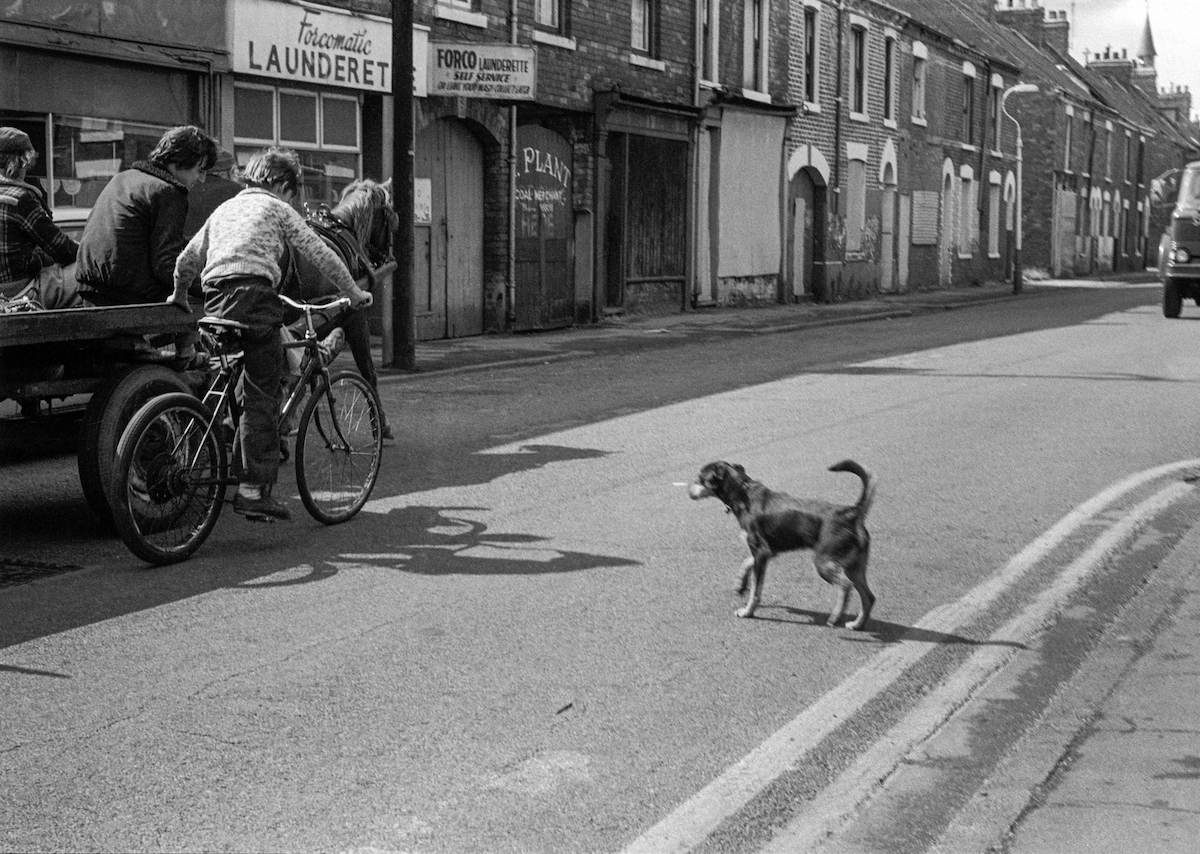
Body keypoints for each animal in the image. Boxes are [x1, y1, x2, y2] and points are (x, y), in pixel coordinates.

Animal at [691, 460, 878, 628]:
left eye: (701, 478)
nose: (689, 490)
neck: (742, 491)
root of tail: (852, 513)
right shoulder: (766, 552)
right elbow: (747, 563)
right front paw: (740, 583)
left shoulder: (761, 552)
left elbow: (755, 590)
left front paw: (747, 612)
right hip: (854, 566)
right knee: (868, 597)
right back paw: (857, 624)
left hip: (824, 562)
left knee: (846, 586)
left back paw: (835, 617)